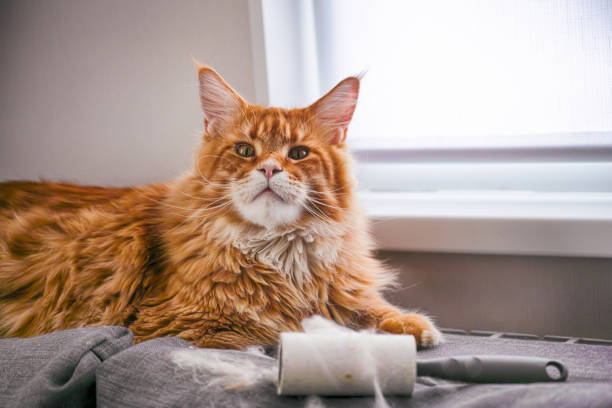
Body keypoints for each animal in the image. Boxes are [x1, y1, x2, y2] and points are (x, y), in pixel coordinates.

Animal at [0, 63, 442, 348]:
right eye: (245, 150)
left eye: (298, 153)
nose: (269, 168)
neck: (279, 251)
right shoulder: (189, 323)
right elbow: (286, 328)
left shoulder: (341, 291)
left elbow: (369, 310)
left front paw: (413, 327)